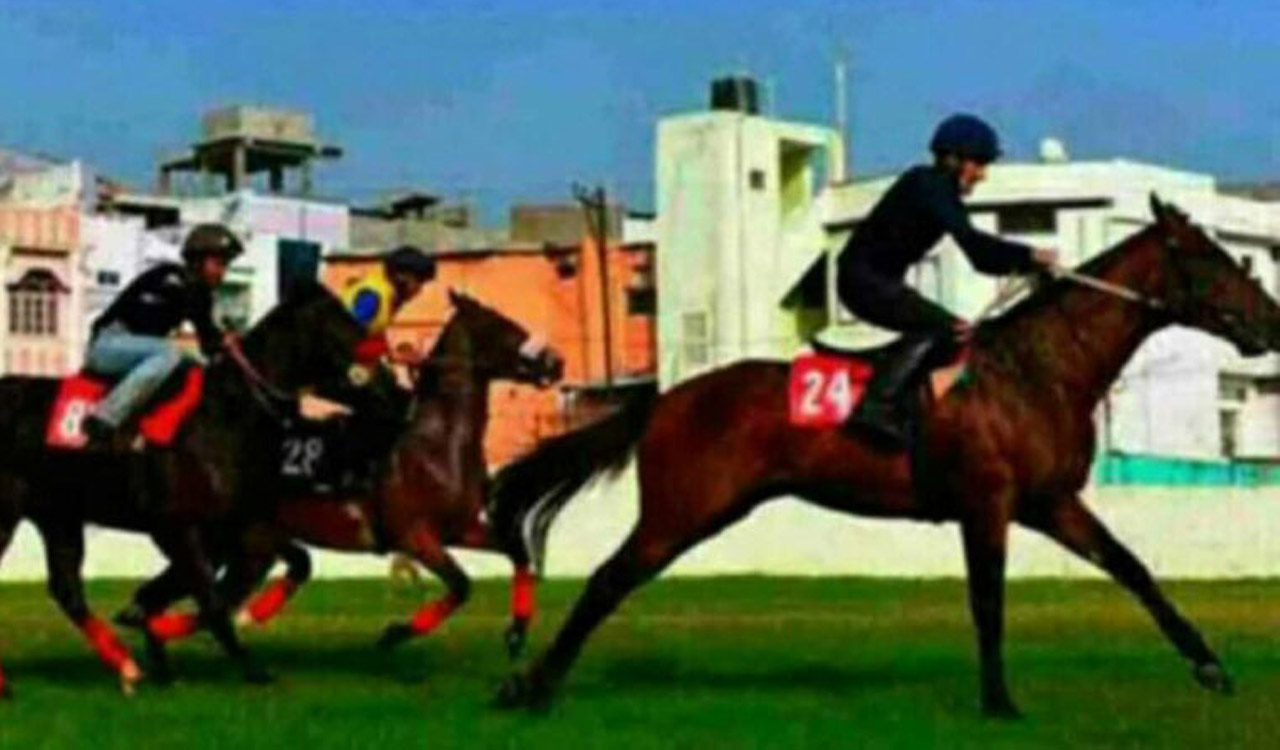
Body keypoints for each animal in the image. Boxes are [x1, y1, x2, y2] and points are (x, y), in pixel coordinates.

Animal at [0, 281, 368, 696]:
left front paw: (155, 636)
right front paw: (252, 668)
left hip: (58, 514)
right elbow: (211, 598)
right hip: (7, 510)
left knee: (67, 589)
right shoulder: (178, 526)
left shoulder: (233, 524)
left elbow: (291, 563)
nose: (380, 360)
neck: (224, 414)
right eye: (338, 318)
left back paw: (128, 668)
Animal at [117, 291, 565, 675]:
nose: (555, 362)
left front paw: (516, 633)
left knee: (173, 599)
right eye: (503, 325)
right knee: (191, 601)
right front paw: (395, 633)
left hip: (238, 546)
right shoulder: (415, 535)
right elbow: (461, 585)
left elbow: (517, 551)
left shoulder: (461, 528)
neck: (436, 442)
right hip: (226, 543)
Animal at [488, 196, 1280, 717]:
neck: (1037, 369)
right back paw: (531, 686)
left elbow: (1131, 568)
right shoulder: (987, 504)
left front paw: (1210, 665)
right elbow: (987, 601)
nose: (1272, 321)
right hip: (684, 510)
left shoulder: (1050, 502)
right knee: (606, 580)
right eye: (1213, 258)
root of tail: (665, 400)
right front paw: (999, 702)